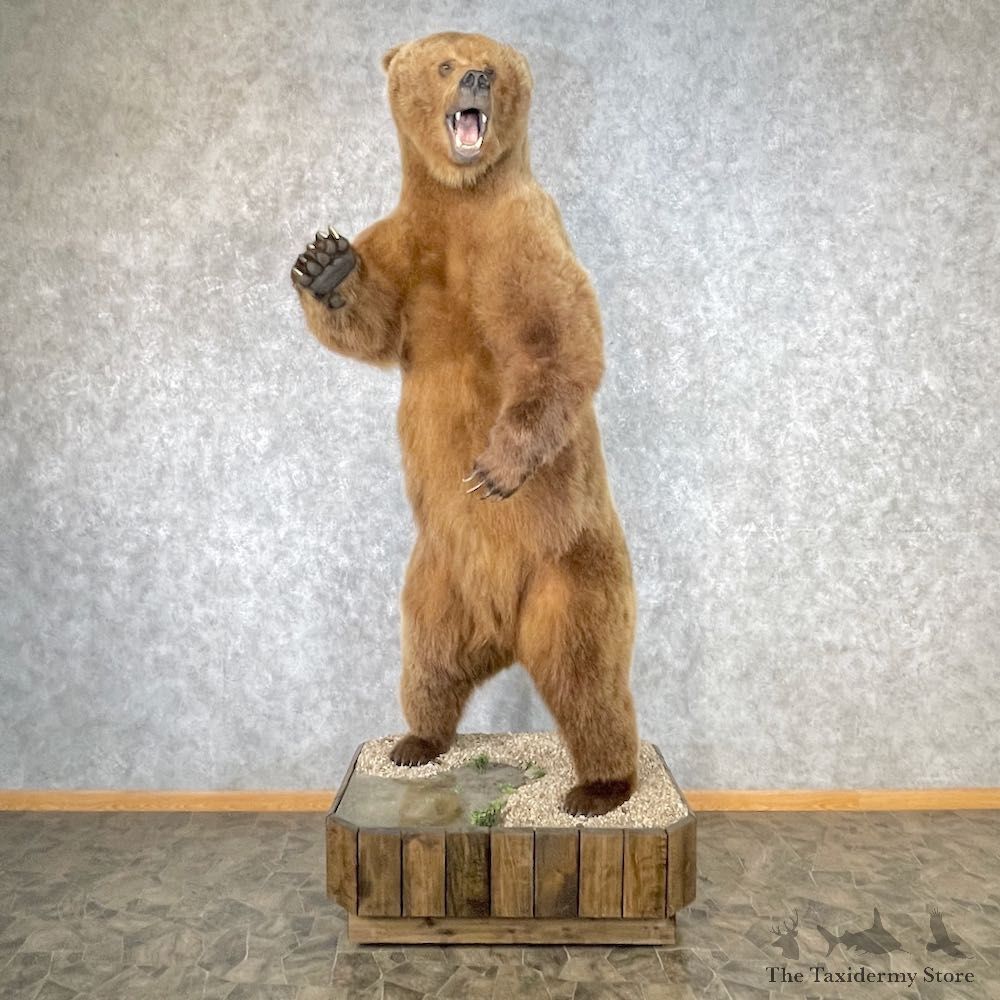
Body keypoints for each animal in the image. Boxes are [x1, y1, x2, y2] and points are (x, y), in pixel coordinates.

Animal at [291, 31, 639, 816]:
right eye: (446, 63)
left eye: (494, 64)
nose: (477, 76)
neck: (461, 196)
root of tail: (504, 634)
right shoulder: (408, 244)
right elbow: (374, 325)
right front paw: (325, 265)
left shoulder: (523, 234)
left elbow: (555, 337)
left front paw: (494, 468)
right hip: (435, 580)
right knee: (430, 662)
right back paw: (416, 743)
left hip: (572, 573)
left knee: (588, 677)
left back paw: (600, 787)